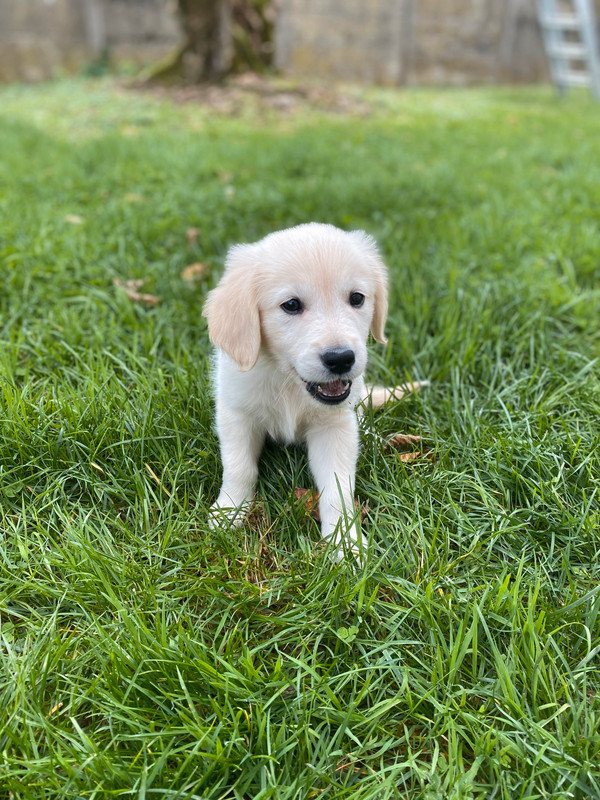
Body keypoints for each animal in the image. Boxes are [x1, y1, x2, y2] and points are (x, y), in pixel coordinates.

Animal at [202, 222, 418, 552]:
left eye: (357, 298)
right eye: (291, 305)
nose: (341, 358)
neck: (289, 382)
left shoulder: (334, 426)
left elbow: (337, 489)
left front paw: (345, 544)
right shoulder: (237, 413)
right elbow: (238, 466)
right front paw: (229, 512)